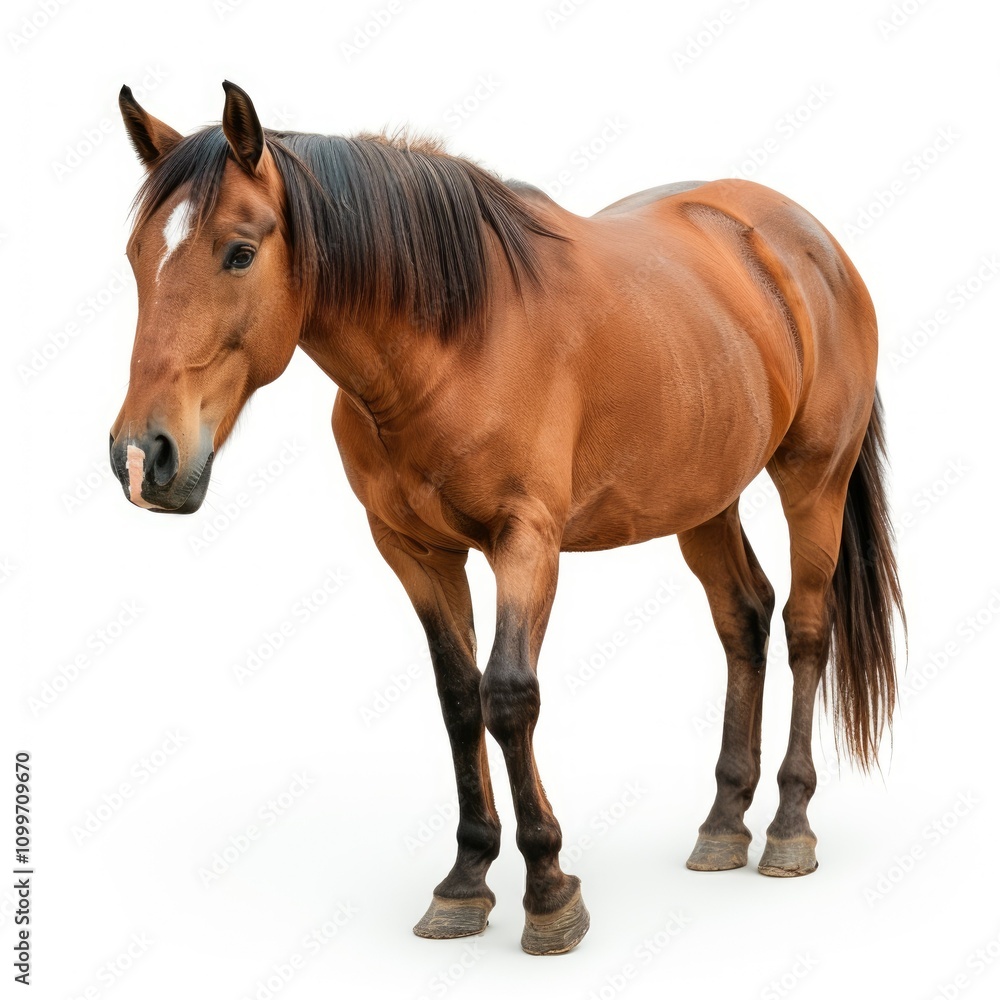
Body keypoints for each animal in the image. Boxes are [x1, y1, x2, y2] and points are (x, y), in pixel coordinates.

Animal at [109, 81, 904, 955]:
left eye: (239, 253)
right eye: (137, 256)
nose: (142, 458)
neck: (456, 341)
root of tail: (804, 240)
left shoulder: (528, 542)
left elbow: (509, 695)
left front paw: (550, 891)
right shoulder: (415, 552)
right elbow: (459, 700)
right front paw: (465, 879)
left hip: (814, 480)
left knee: (805, 627)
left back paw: (791, 824)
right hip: (704, 496)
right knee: (744, 617)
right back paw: (725, 821)